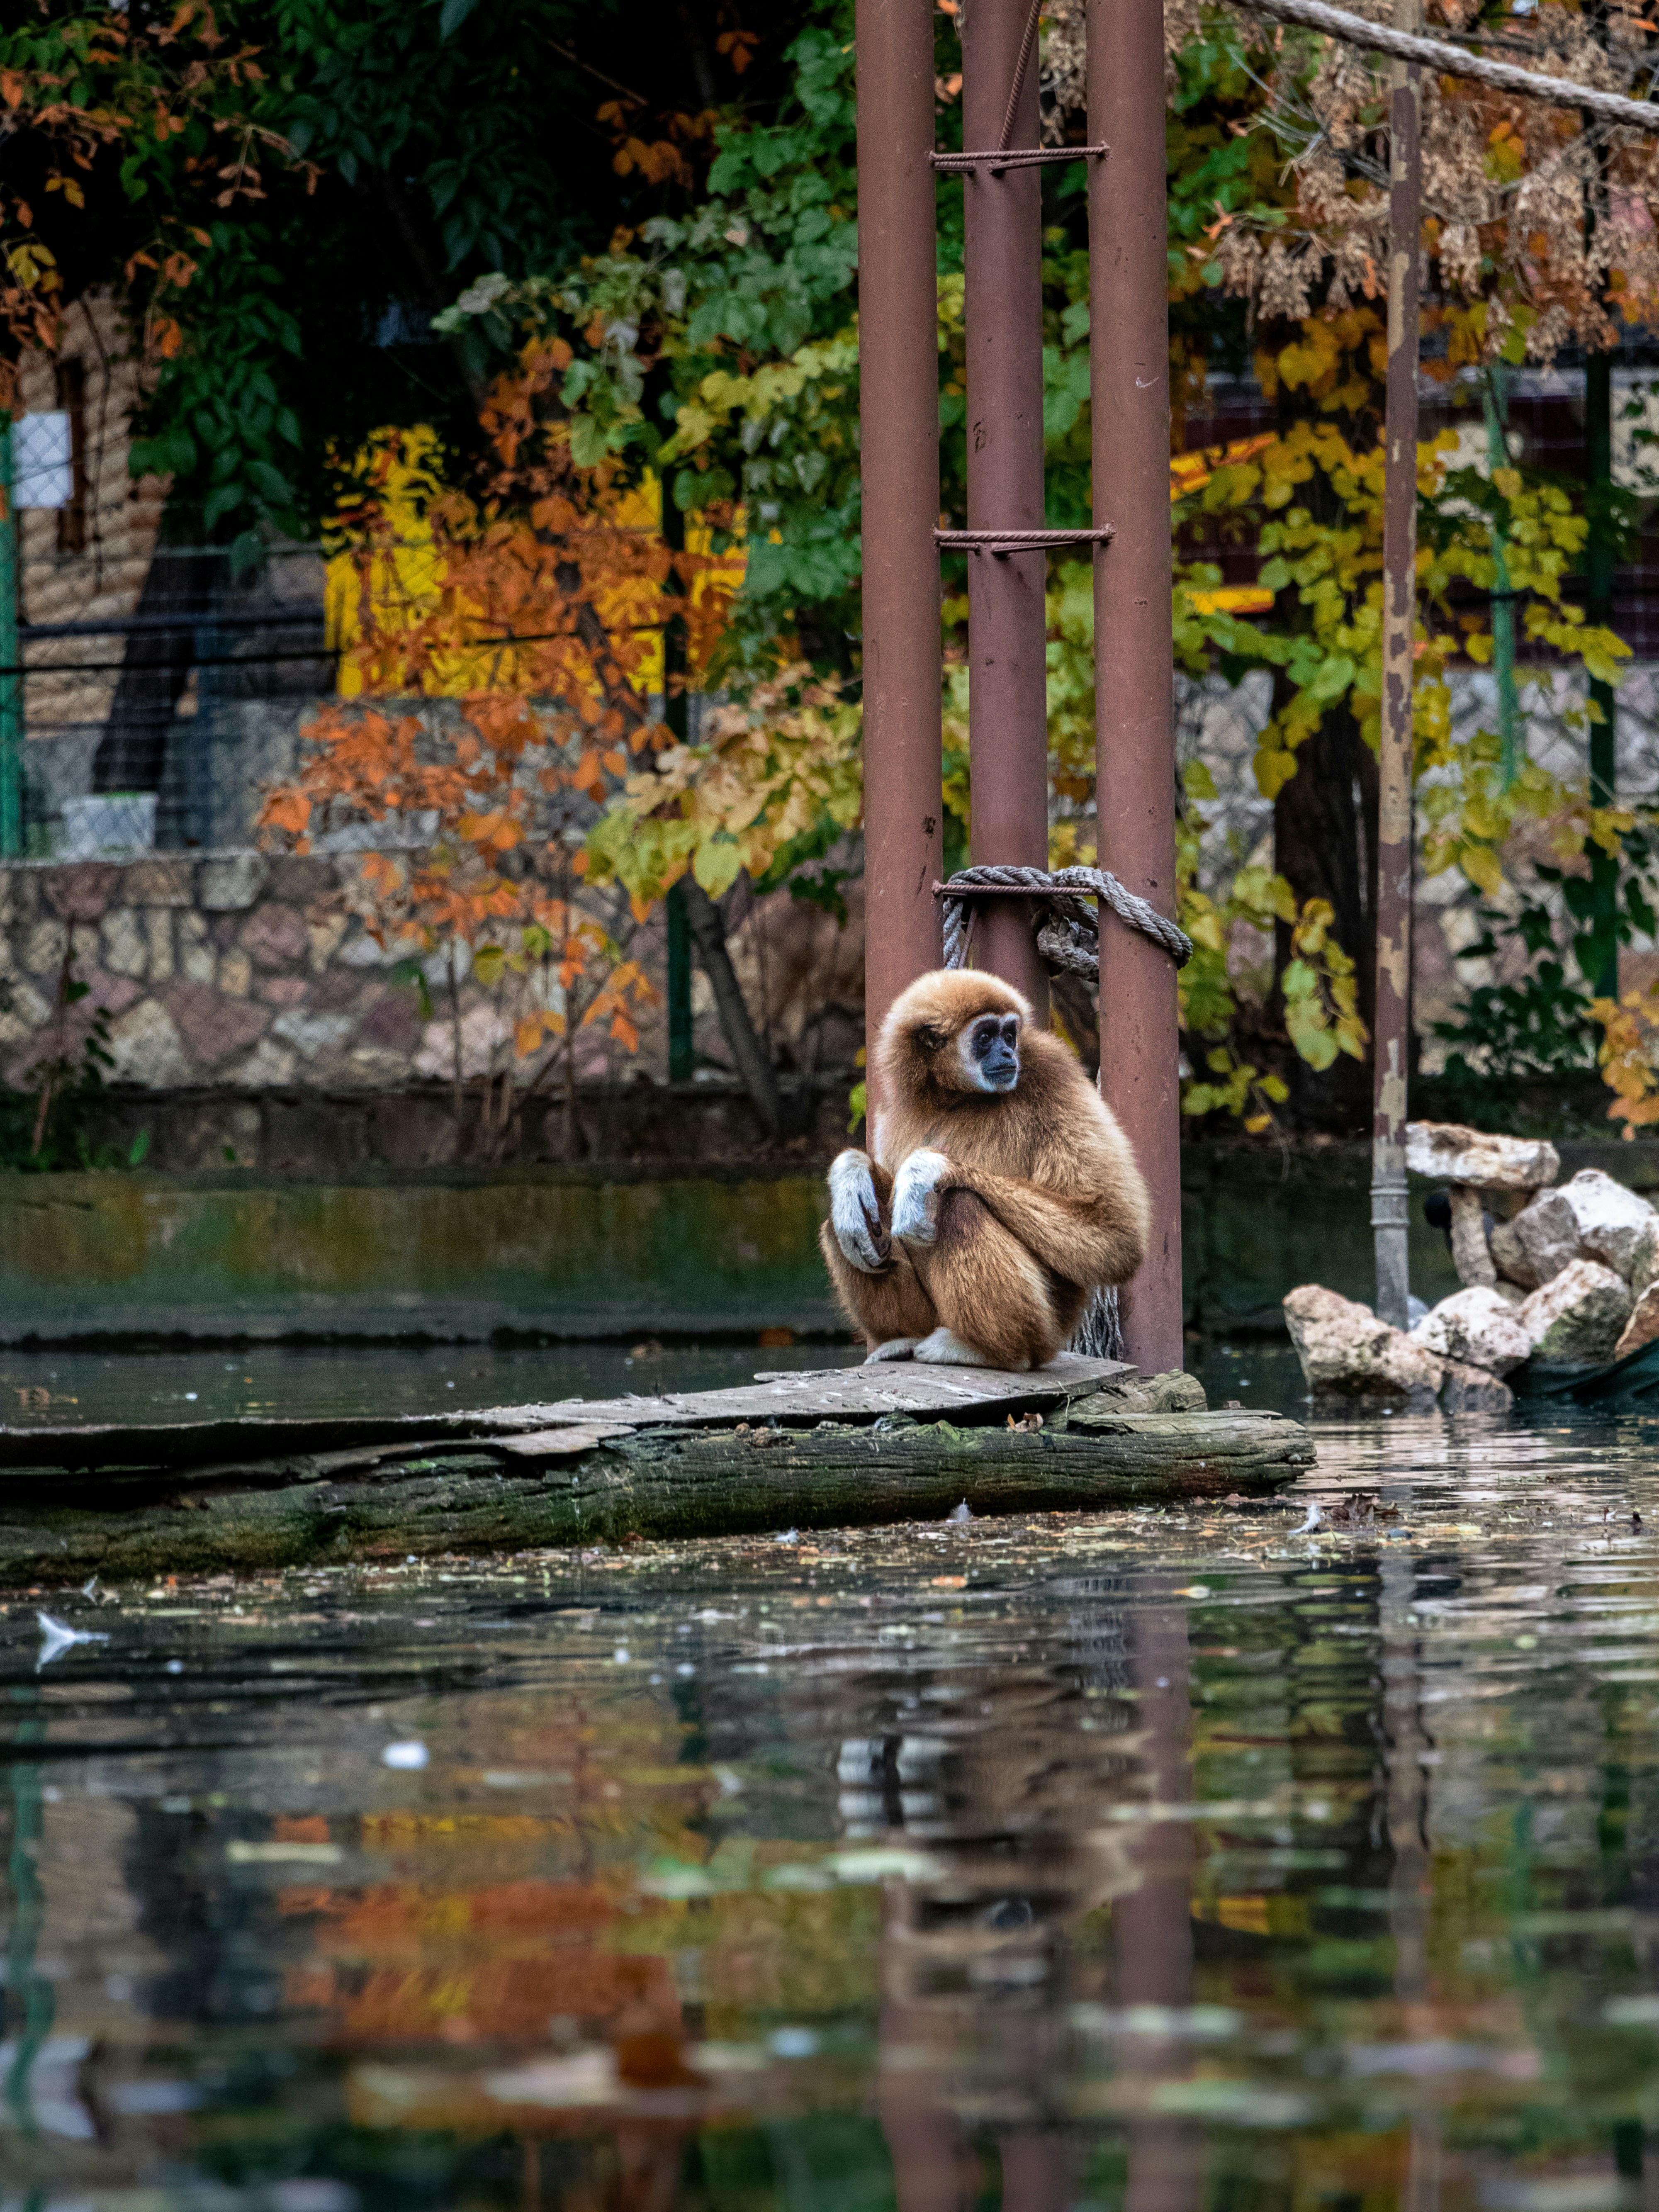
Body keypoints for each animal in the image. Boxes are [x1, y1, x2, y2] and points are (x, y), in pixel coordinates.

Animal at [819, 969, 1150, 1371]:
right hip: (933, 1315)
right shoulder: (896, 1104)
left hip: (1045, 1327)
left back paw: (988, 1351)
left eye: (1010, 1035)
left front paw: (926, 1168)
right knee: (845, 1222)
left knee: (959, 1205)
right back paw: (903, 1338)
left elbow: (1114, 1233)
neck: (958, 1097)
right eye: (986, 1036)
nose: (1007, 1052)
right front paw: (851, 1173)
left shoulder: (1054, 1073)